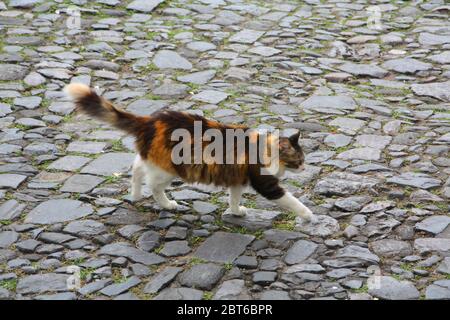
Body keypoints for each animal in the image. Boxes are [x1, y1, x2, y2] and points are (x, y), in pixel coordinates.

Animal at [65, 84, 314, 221]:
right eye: (299, 159)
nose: (305, 167)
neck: (265, 148)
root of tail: (150, 121)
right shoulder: (266, 184)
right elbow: (291, 201)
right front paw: (309, 215)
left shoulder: (236, 179)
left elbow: (233, 198)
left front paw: (235, 211)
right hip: (168, 170)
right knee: (153, 185)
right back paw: (166, 204)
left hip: (153, 160)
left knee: (136, 168)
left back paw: (135, 195)